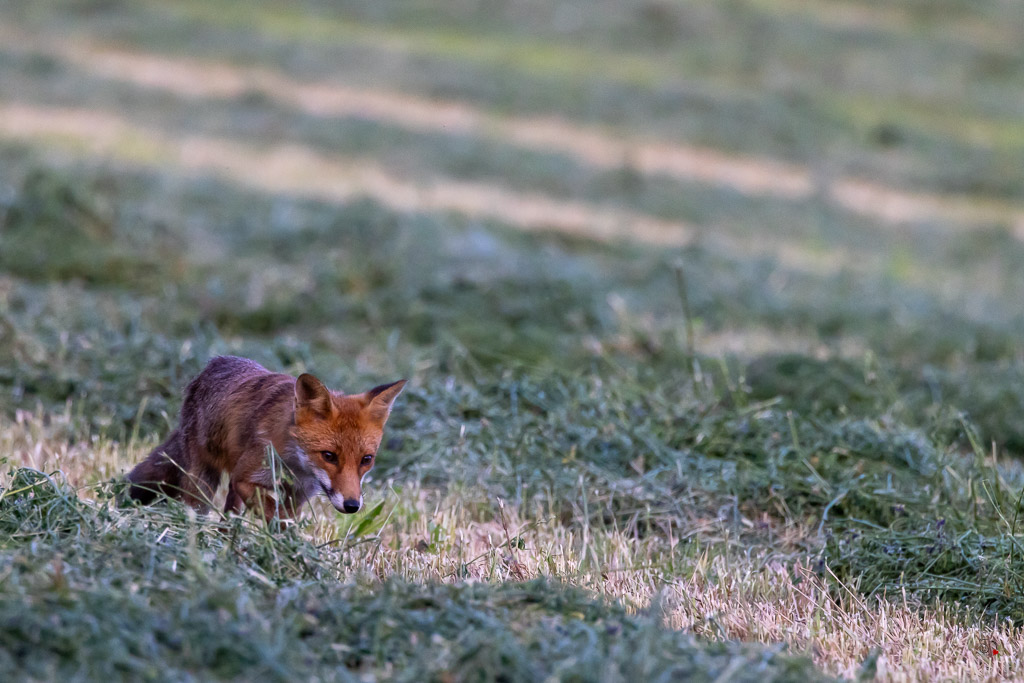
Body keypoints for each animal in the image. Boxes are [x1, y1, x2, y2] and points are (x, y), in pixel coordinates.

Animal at [126, 355, 406, 519]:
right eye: (329, 456)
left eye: (366, 460)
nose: (352, 505)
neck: (296, 465)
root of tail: (214, 364)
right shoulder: (246, 477)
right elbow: (271, 513)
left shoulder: (298, 494)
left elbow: (284, 520)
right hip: (203, 481)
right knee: (196, 508)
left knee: (229, 516)